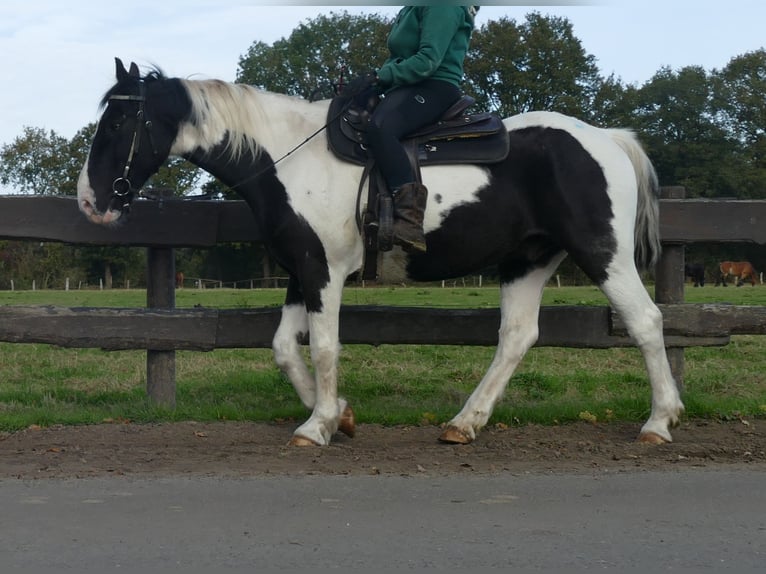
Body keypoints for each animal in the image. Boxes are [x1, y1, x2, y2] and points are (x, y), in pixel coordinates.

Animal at [73, 58, 684, 448]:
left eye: (120, 120)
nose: (90, 201)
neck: (287, 157)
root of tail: (607, 138)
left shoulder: (323, 272)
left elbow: (324, 348)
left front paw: (316, 425)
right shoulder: (300, 270)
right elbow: (284, 349)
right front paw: (339, 416)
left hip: (602, 252)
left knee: (645, 320)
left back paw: (660, 421)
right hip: (528, 260)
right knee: (516, 337)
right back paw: (466, 422)